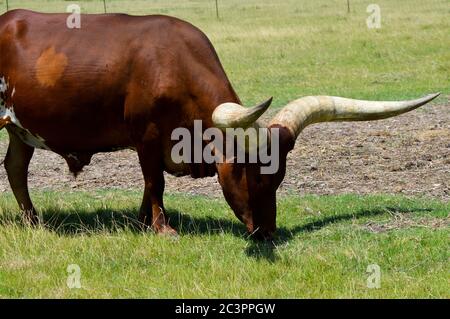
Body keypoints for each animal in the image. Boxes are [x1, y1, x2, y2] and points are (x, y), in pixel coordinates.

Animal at [0, 9, 440, 240]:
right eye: (249, 172)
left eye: (280, 176)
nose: (266, 232)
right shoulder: (146, 136)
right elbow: (154, 182)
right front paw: (162, 228)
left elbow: (149, 185)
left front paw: (142, 222)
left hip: (21, 129)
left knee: (16, 168)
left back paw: (33, 221)